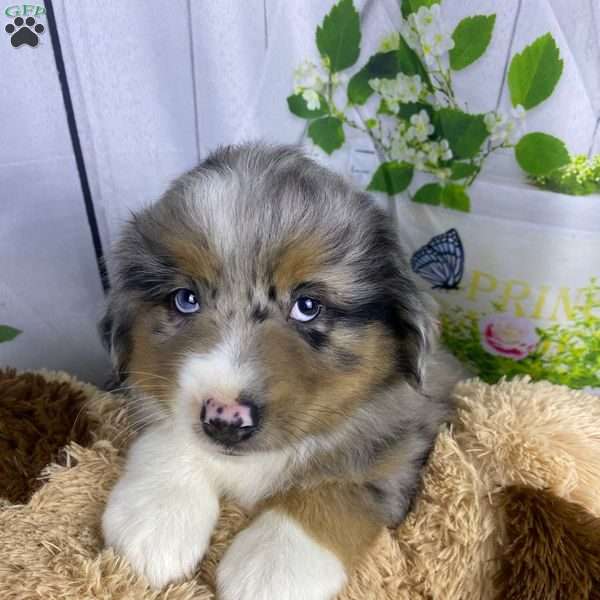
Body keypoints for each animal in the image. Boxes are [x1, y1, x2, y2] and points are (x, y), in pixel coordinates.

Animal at [101, 144, 462, 600]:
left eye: (307, 306)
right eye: (185, 299)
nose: (224, 419)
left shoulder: (407, 433)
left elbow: (339, 484)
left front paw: (273, 566)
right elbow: (169, 430)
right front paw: (155, 518)